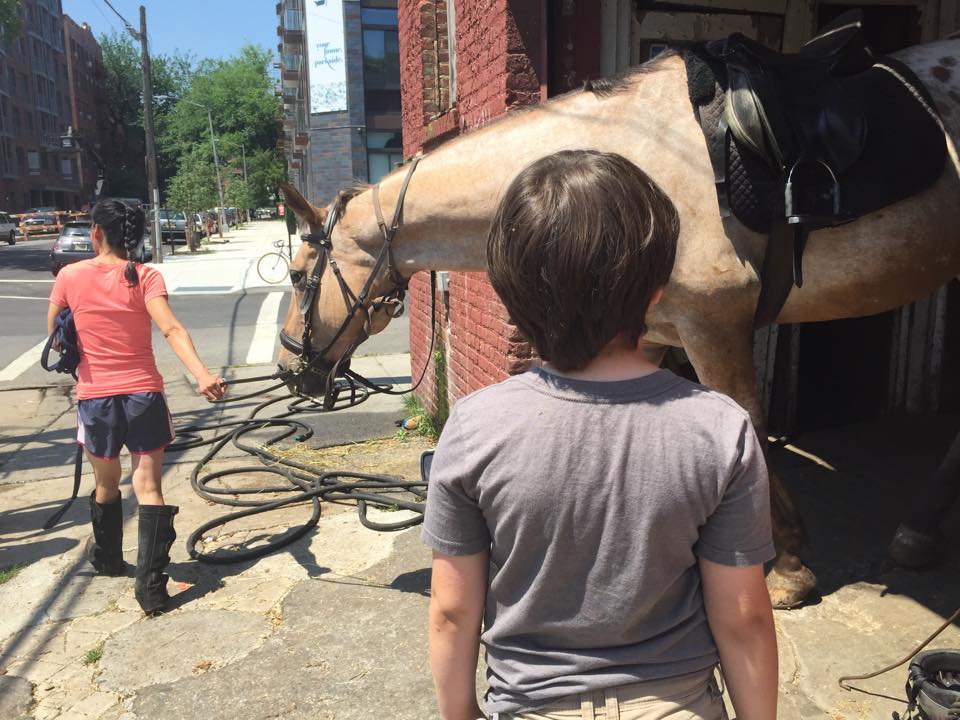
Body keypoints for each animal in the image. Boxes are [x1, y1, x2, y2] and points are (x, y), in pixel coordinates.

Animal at [276, 39, 960, 608]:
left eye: (299, 274)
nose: (285, 366)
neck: (629, 175)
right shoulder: (654, 334)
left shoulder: (714, 326)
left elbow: (753, 431)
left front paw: (788, 568)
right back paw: (920, 533)